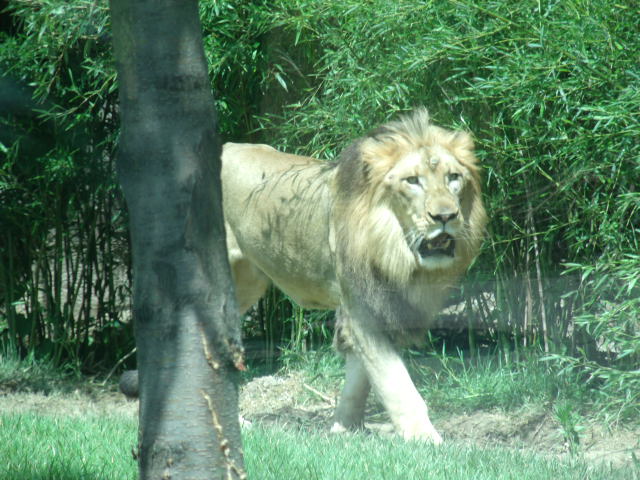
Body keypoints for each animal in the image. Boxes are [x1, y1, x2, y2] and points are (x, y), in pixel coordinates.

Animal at [222, 109, 487, 443]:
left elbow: (360, 378)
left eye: (453, 177)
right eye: (412, 181)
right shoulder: (363, 307)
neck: (397, 253)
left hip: (246, 284)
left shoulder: (380, 307)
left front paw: (344, 429)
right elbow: (396, 383)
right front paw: (426, 440)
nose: (445, 216)